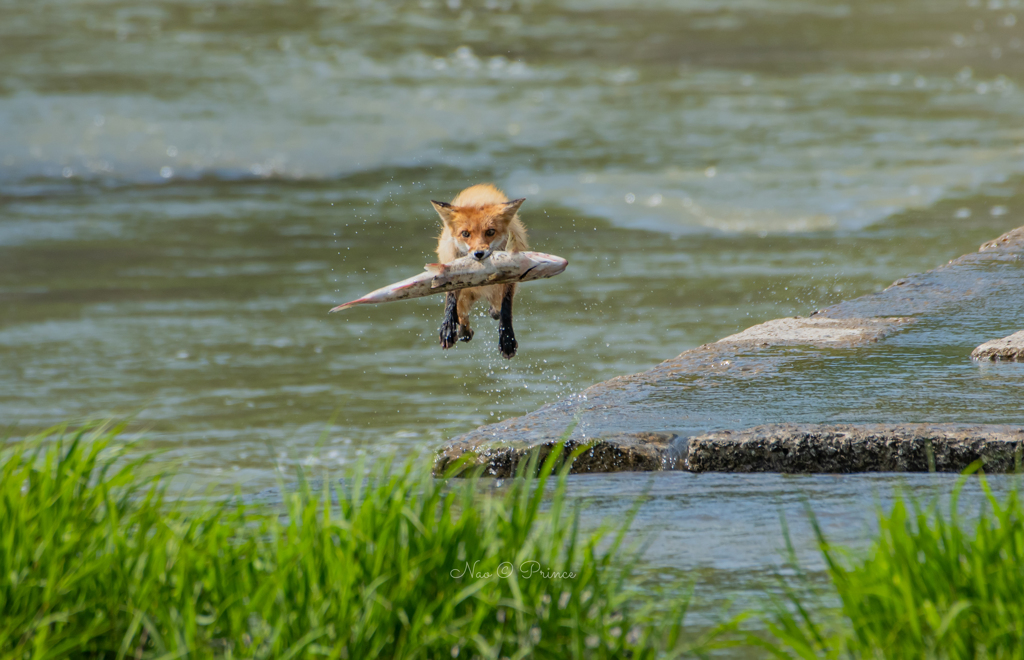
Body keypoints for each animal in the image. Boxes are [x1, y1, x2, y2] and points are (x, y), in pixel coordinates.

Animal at [430, 183, 528, 358]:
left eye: (490, 232)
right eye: (465, 234)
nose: (479, 254)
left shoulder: (510, 279)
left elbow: (506, 307)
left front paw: (507, 338)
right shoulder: (451, 269)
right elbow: (451, 300)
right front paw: (448, 326)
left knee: (494, 308)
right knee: (463, 314)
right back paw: (463, 331)